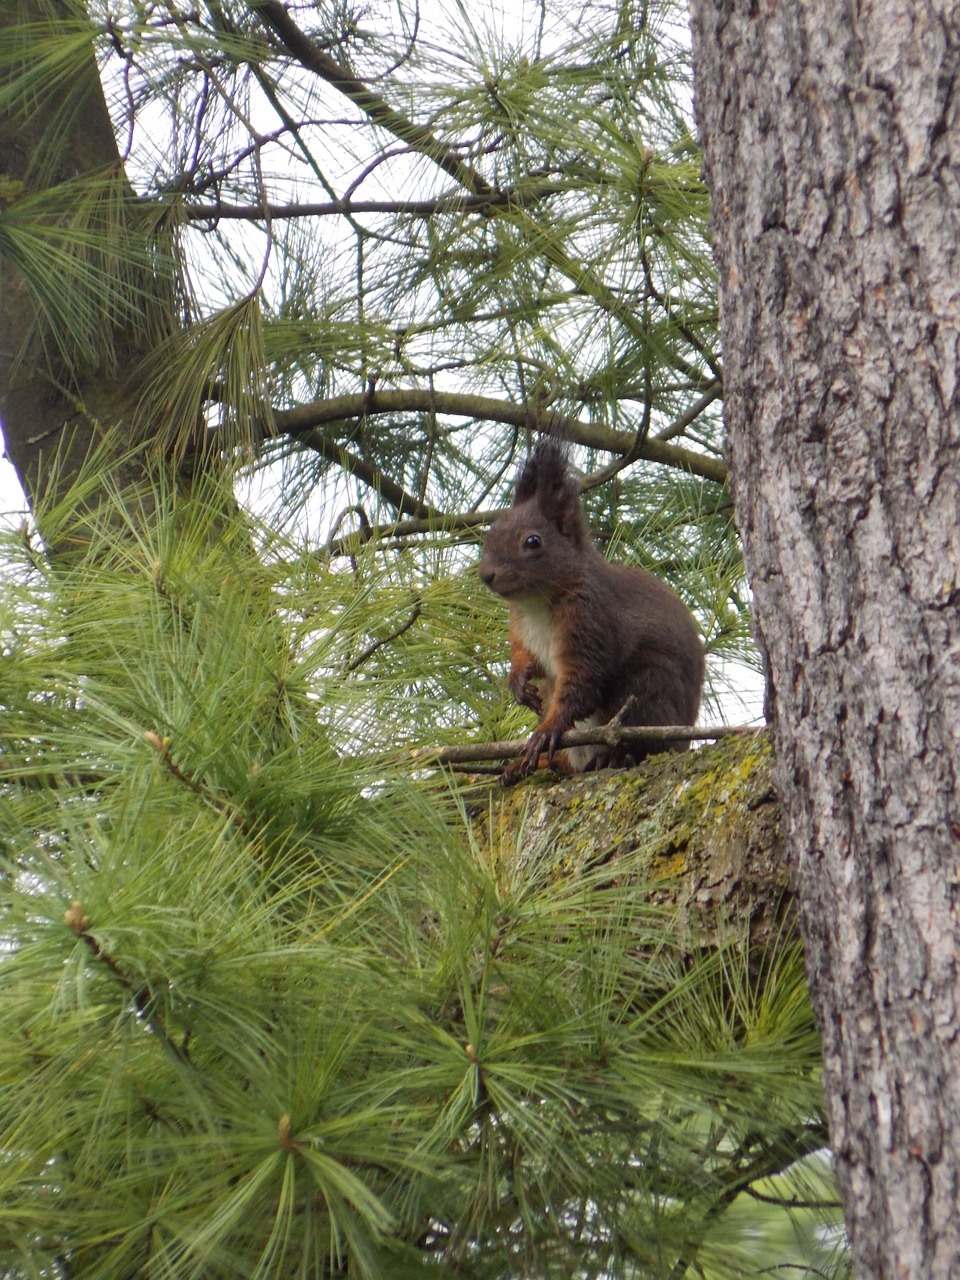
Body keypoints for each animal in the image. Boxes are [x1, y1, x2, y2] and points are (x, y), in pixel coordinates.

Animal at [481, 435, 706, 783]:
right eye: (492, 530)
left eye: (533, 542)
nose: (486, 575)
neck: (536, 604)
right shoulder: (520, 626)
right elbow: (522, 655)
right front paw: (518, 681)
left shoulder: (591, 622)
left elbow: (583, 684)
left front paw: (546, 729)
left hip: (648, 688)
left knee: (642, 737)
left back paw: (614, 756)